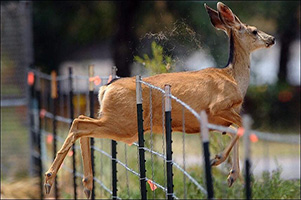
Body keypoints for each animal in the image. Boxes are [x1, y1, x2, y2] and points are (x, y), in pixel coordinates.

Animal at [44, 1, 274, 198]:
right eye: (254, 30)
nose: (271, 39)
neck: (233, 78)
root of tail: (105, 88)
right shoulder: (218, 107)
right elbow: (243, 127)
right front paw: (217, 160)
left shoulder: (212, 120)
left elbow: (236, 130)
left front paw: (232, 175)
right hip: (123, 123)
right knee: (79, 122)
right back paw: (49, 180)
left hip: (121, 124)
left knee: (83, 124)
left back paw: (86, 185)